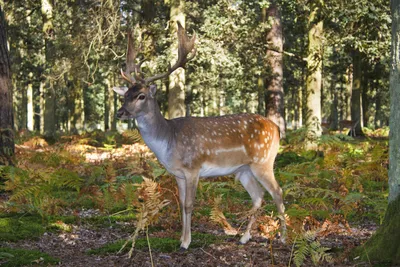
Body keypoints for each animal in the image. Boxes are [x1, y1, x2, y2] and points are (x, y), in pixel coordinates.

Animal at [113, 22, 284, 250]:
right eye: (125, 95)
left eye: (141, 96)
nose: (120, 112)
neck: (169, 140)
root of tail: (277, 128)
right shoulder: (177, 173)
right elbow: (180, 203)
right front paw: (181, 238)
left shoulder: (193, 168)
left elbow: (188, 205)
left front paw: (186, 243)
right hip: (243, 169)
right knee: (258, 196)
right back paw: (244, 237)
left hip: (264, 161)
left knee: (277, 192)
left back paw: (283, 236)